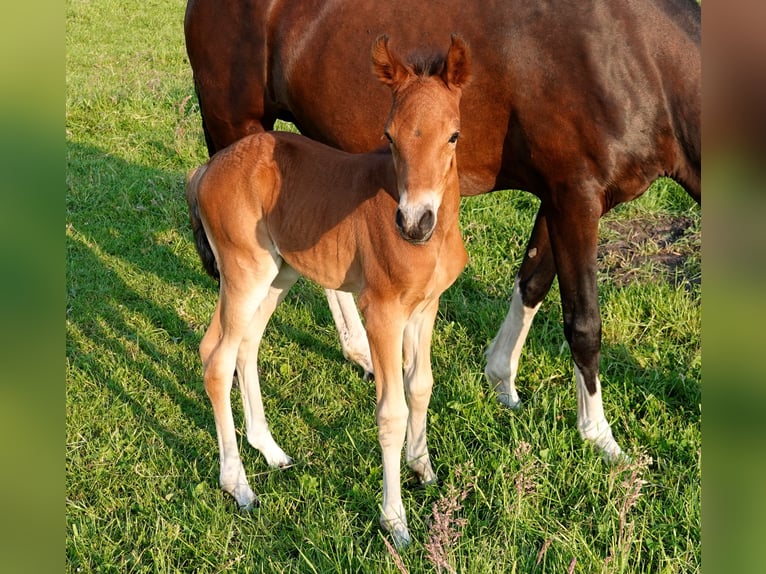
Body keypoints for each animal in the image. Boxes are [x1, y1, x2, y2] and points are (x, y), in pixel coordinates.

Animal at [186, 0, 704, 462]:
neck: (636, 56)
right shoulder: (575, 196)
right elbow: (583, 322)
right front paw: (600, 436)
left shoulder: (559, 198)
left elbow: (533, 282)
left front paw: (502, 381)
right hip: (236, 127)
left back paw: (359, 352)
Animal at [187, 36, 474, 548]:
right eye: (390, 136)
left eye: (453, 136)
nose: (413, 223)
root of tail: (207, 168)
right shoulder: (382, 313)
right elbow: (391, 412)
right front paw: (395, 521)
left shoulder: (426, 307)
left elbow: (421, 385)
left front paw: (423, 470)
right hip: (244, 273)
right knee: (216, 357)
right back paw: (238, 485)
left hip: (278, 275)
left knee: (246, 347)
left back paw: (271, 450)